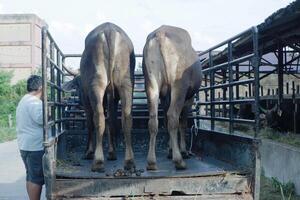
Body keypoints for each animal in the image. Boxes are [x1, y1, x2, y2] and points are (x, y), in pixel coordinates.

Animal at [63, 22, 136, 172]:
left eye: (77, 85)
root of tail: (109, 30)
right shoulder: (112, 98)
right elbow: (111, 121)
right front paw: (112, 152)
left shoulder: (87, 99)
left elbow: (90, 123)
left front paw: (88, 151)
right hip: (126, 84)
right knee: (125, 118)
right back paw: (129, 161)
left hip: (97, 85)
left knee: (98, 118)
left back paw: (97, 161)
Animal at [142, 25, 202, 170]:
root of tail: (160, 35)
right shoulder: (189, 98)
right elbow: (183, 124)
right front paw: (183, 151)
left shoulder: (164, 98)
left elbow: (164, 122)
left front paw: (170, 150)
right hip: (179, 85)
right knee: (173, 116)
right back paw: (179, 160)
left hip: (151, 83)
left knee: (154, 120)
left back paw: (151, 162)